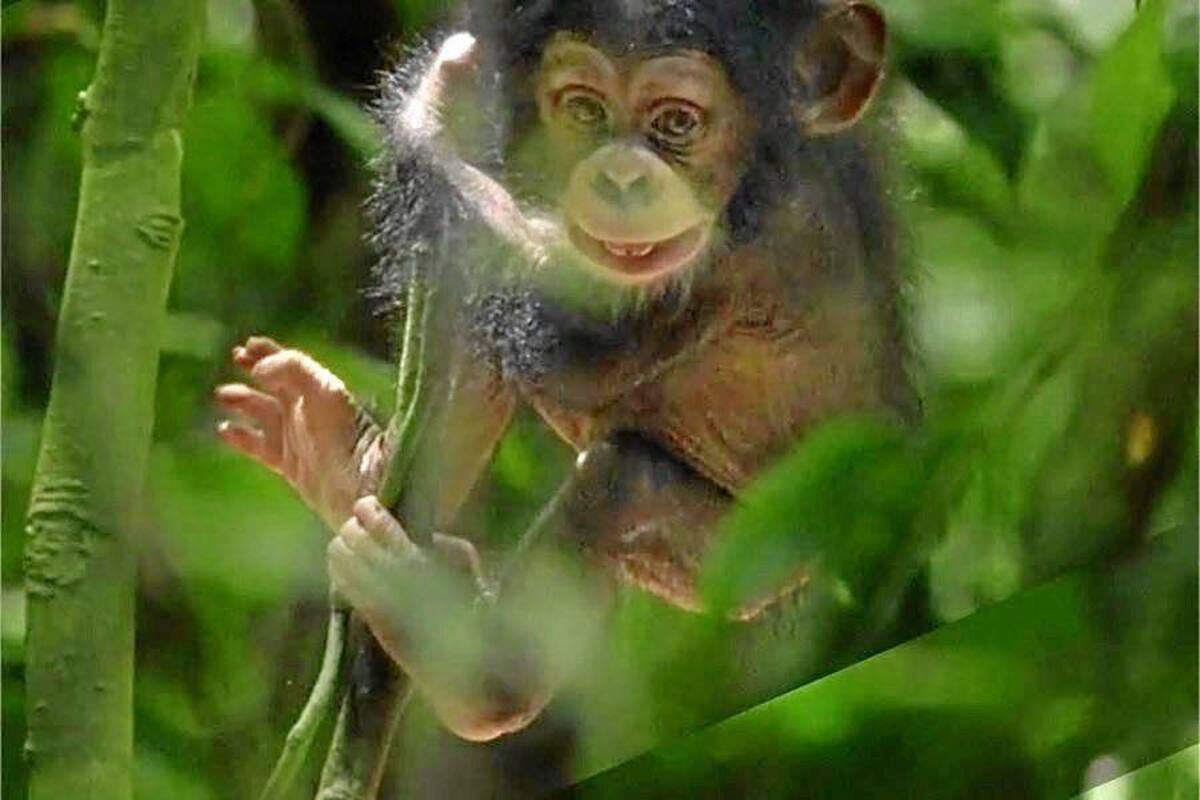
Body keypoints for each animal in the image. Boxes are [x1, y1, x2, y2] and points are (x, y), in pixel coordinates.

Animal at [216, 0, 911, 757]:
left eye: (677, 121)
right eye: (585, 110)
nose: (622, 177)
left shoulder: (739, 258)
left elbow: (572, 343)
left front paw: (433, 112)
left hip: (751, 552)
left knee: (623, 485)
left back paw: (477, 679)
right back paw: (339, 460)